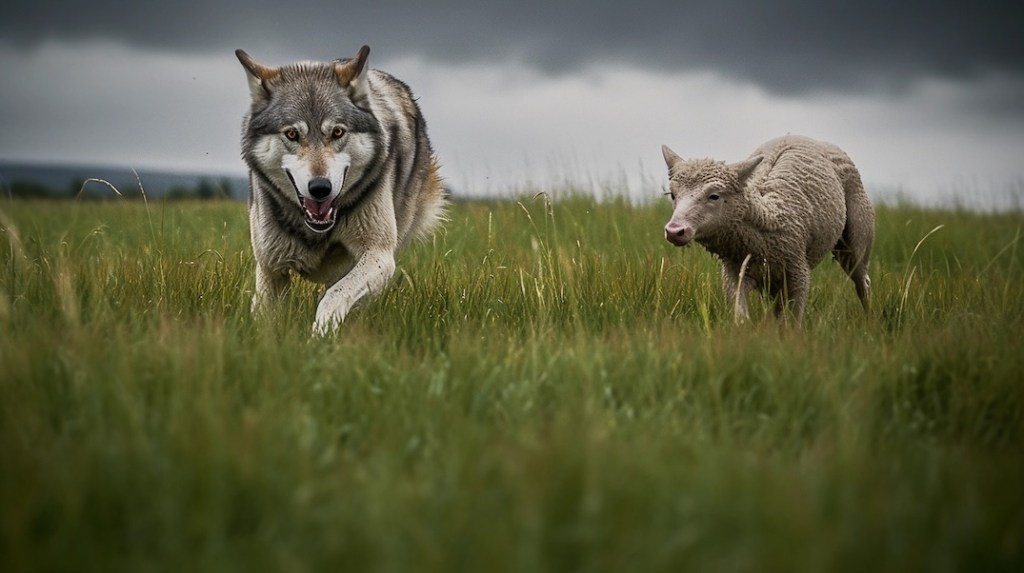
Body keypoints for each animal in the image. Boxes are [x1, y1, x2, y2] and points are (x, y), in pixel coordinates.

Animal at [236, 46, 446, 335]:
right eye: (291, 134)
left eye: (337, 132)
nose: (320, 188)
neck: (317, 231)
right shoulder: (271, 268)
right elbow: (264, 319)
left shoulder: (379, 255)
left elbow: (335, 296)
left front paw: (320, 335)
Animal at [661, 135, 874, 322]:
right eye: (672, 194)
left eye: (714, 196)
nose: (674, 231)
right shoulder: (735, 273)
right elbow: (741, 317)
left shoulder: (800, 274)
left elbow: (794, 322)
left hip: (856, 241)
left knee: (863, 283)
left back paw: (869, 323)